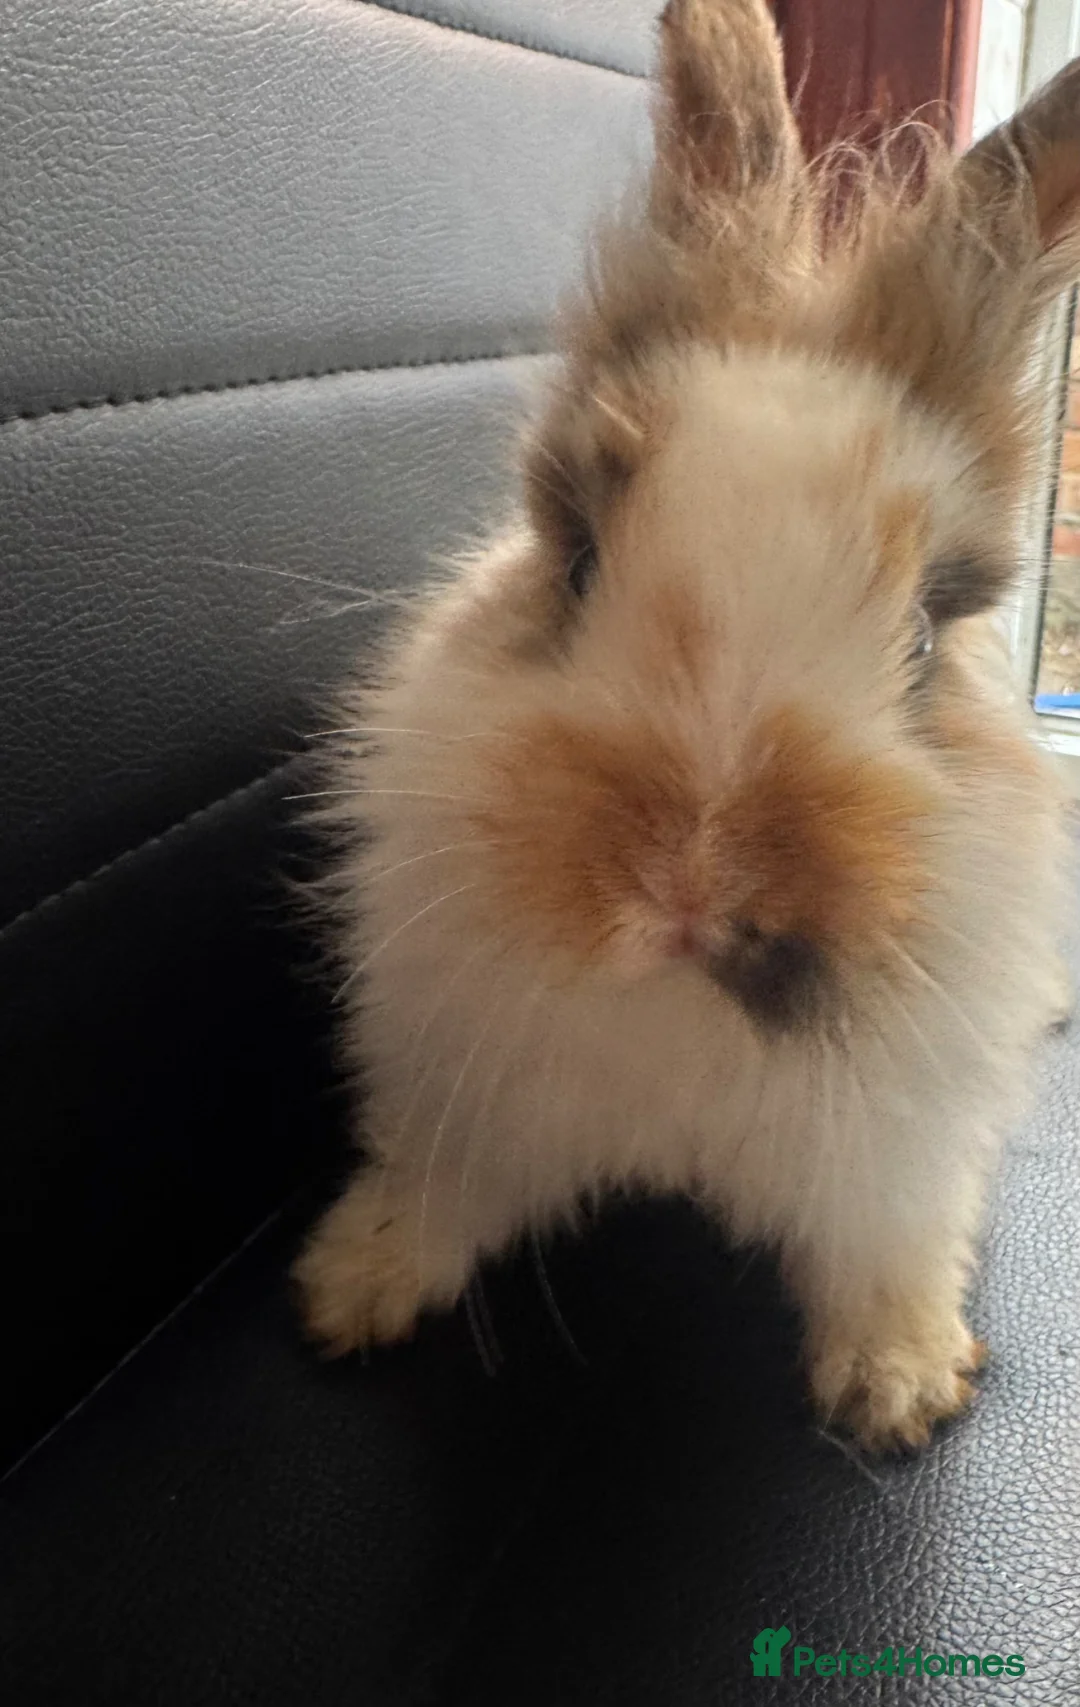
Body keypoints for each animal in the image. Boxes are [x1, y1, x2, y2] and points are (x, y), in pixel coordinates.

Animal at [294, 0, 1080, 1452]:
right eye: (578, 561)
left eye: (921, 637)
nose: (692, 887)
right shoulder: (466, 1090)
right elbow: (436, 1187)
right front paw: (352, 1289)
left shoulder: (895, 1160)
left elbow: (887, 1252)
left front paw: (899, 1389)